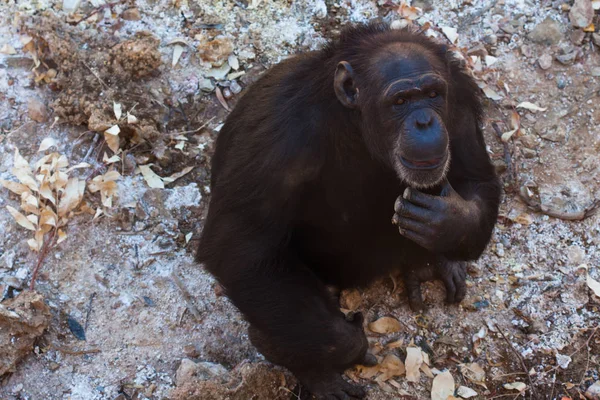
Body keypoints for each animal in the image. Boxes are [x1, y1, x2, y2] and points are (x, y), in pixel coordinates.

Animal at [197, 22, 502, 400]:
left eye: (432, 94)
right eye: (400, 101)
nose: (424, 122)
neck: (354, 123)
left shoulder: (458, 103)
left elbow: (477, 180)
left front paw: (449, 223)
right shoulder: (277, 141)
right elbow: (242, 250)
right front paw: (347, 345)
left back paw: (430, 262)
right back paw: (310, 370)